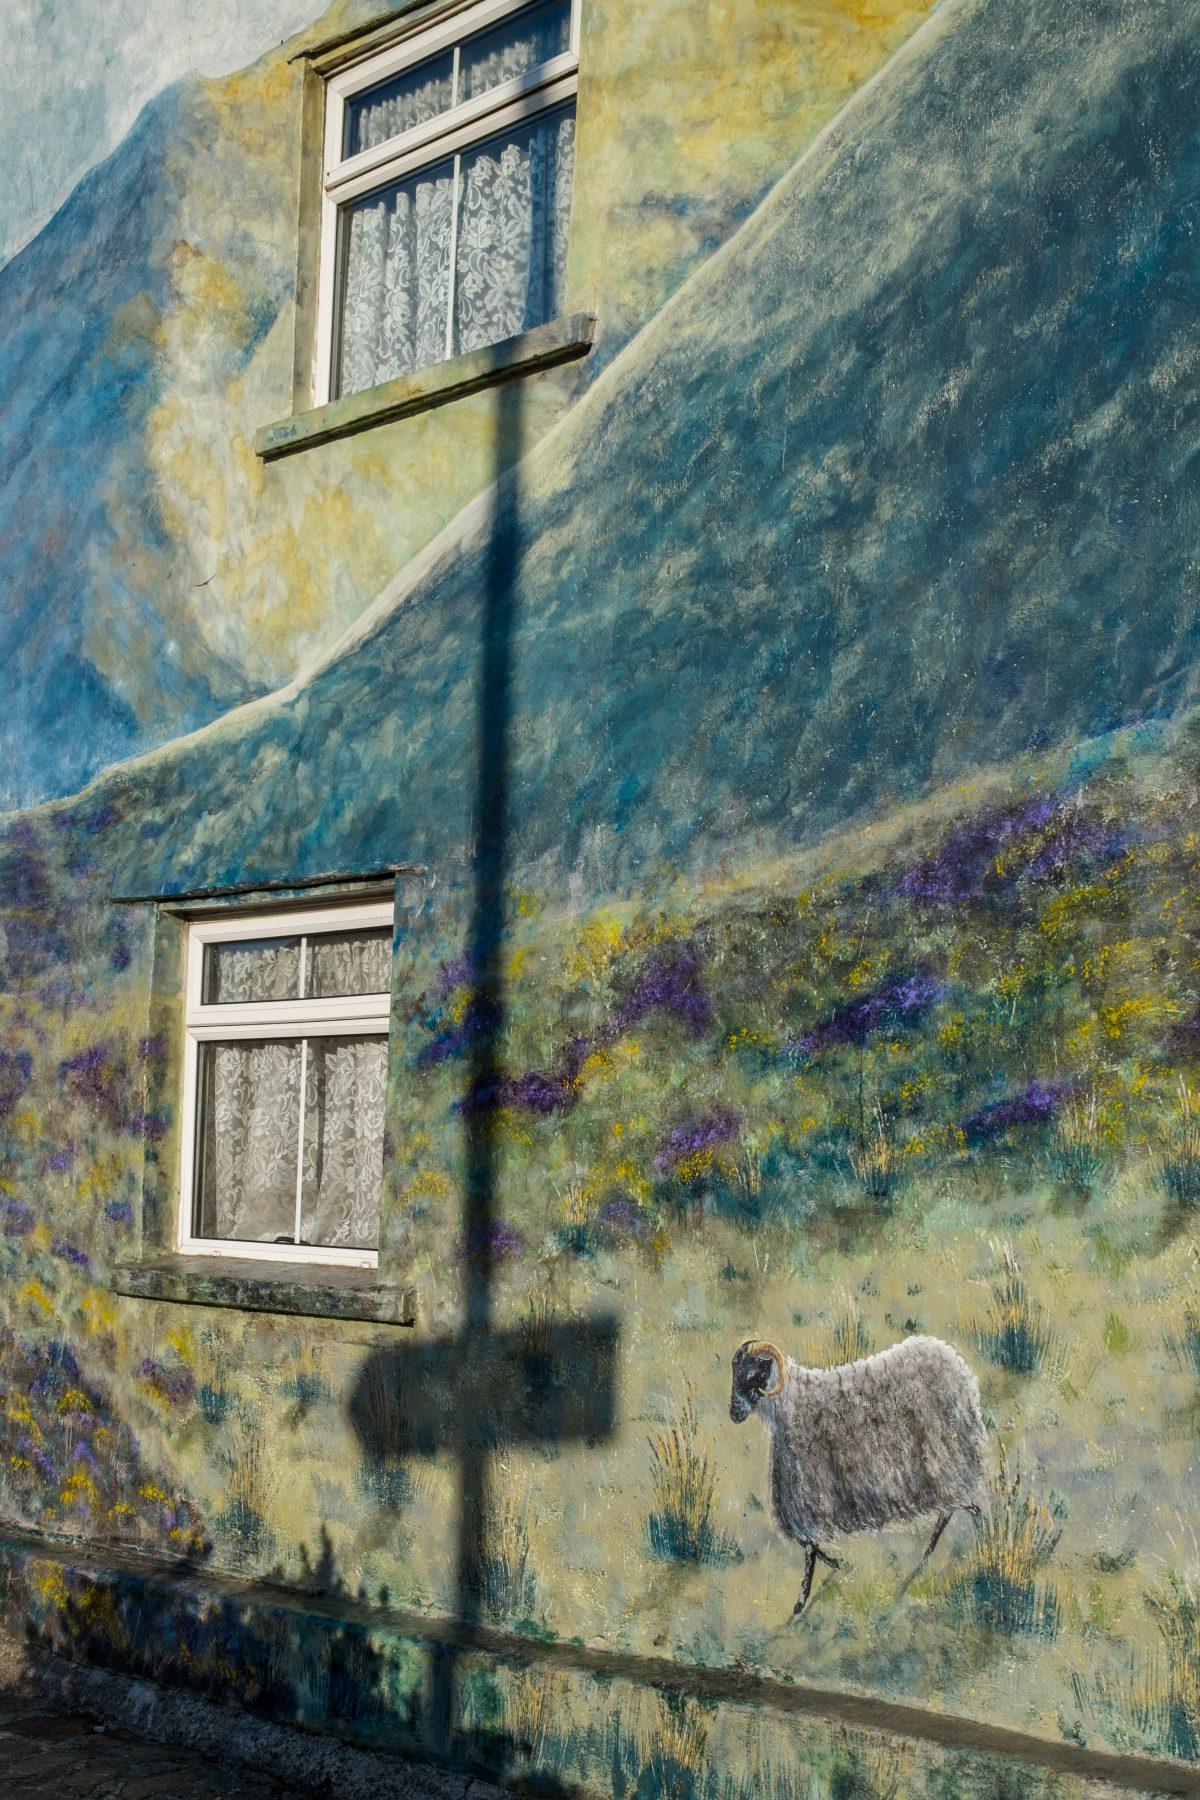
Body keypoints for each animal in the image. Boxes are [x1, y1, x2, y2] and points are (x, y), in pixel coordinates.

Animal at [734, 1339, 985, 1620]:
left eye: (756, 1374)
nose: (734, 1413)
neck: (788, 1406)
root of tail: (957, 1365)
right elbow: (808, 1542)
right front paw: (837, 1563)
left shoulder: (810, 1495)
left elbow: (808, 1546)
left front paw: (802, 1599)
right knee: (953, 1507)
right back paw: (934, 1549)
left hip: (946, 1457)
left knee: (967, 1504)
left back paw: (972, 1538)